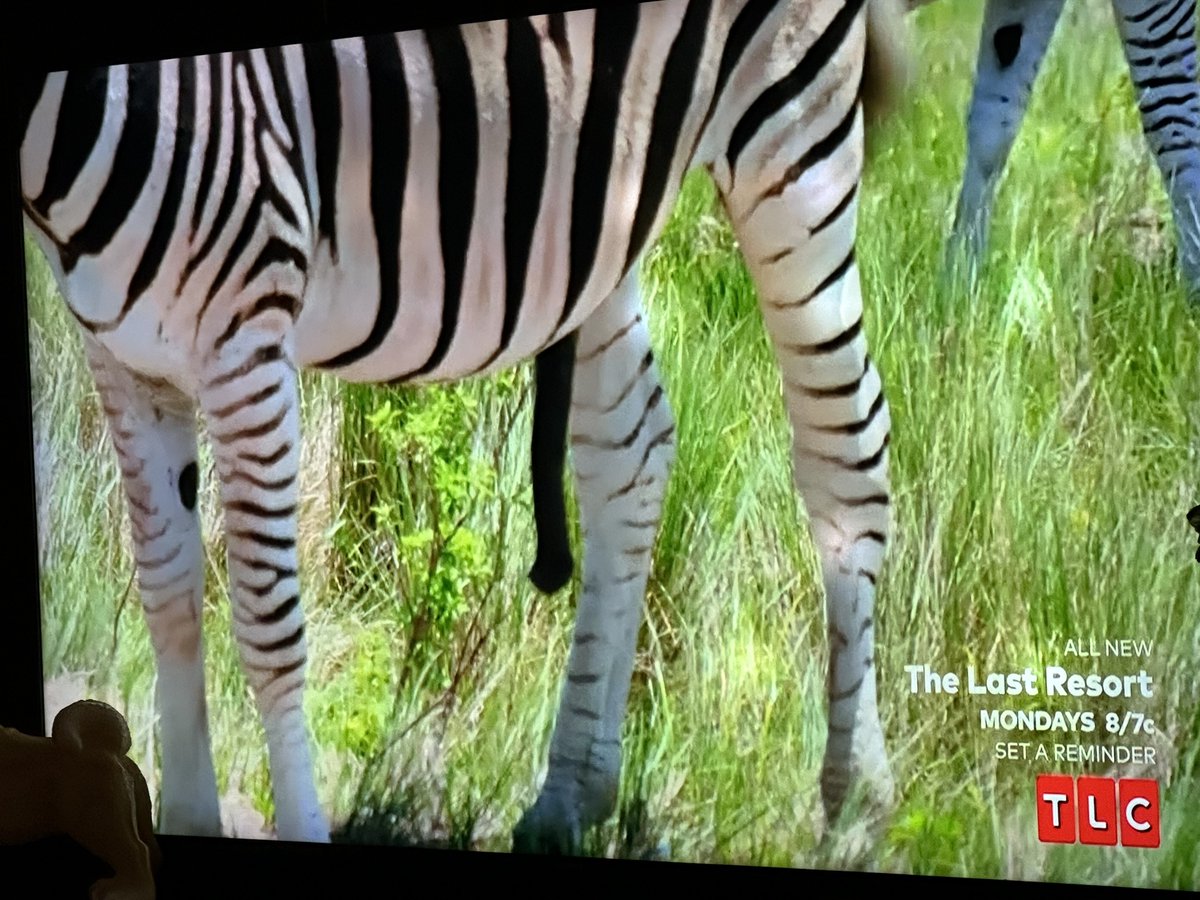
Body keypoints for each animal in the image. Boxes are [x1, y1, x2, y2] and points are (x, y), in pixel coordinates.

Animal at [19, 0, 911, 853]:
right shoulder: (124, 357)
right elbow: (167, 591)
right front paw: (190, 819)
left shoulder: (247, 333)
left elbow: (266, 621)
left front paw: (297, 824)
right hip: (597, 202)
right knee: (632, 453)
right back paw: (571, 794)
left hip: (794, 132)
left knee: (847, 447)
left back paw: (856, 804)